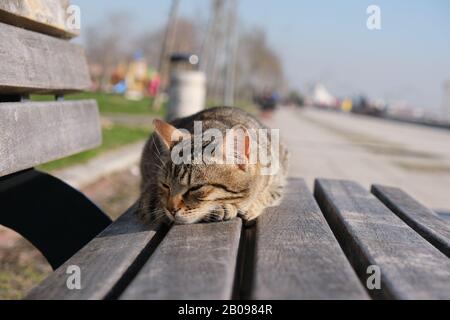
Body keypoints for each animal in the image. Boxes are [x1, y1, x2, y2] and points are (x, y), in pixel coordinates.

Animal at [137, 107, 288, 225]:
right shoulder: (149, 198)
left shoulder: (278, 181)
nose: (171, 209)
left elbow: (267, 195)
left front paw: (251, 206)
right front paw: (222, 209)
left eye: (196, 188)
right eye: (165, 185)